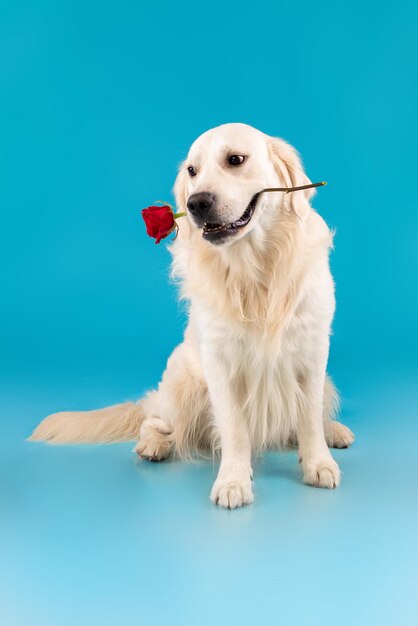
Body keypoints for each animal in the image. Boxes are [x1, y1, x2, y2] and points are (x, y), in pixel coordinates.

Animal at [31, 123, 354, 508]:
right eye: (192, 171)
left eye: (235, 160)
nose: (196, 203)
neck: (255, 270)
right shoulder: (219, 362)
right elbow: (234, 428)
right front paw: (233, 481)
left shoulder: (313, 349)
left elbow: (308, 416)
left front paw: (318, 462)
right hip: (181, 384)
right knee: (156, 421)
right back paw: (153, 445)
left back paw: (334, 431)